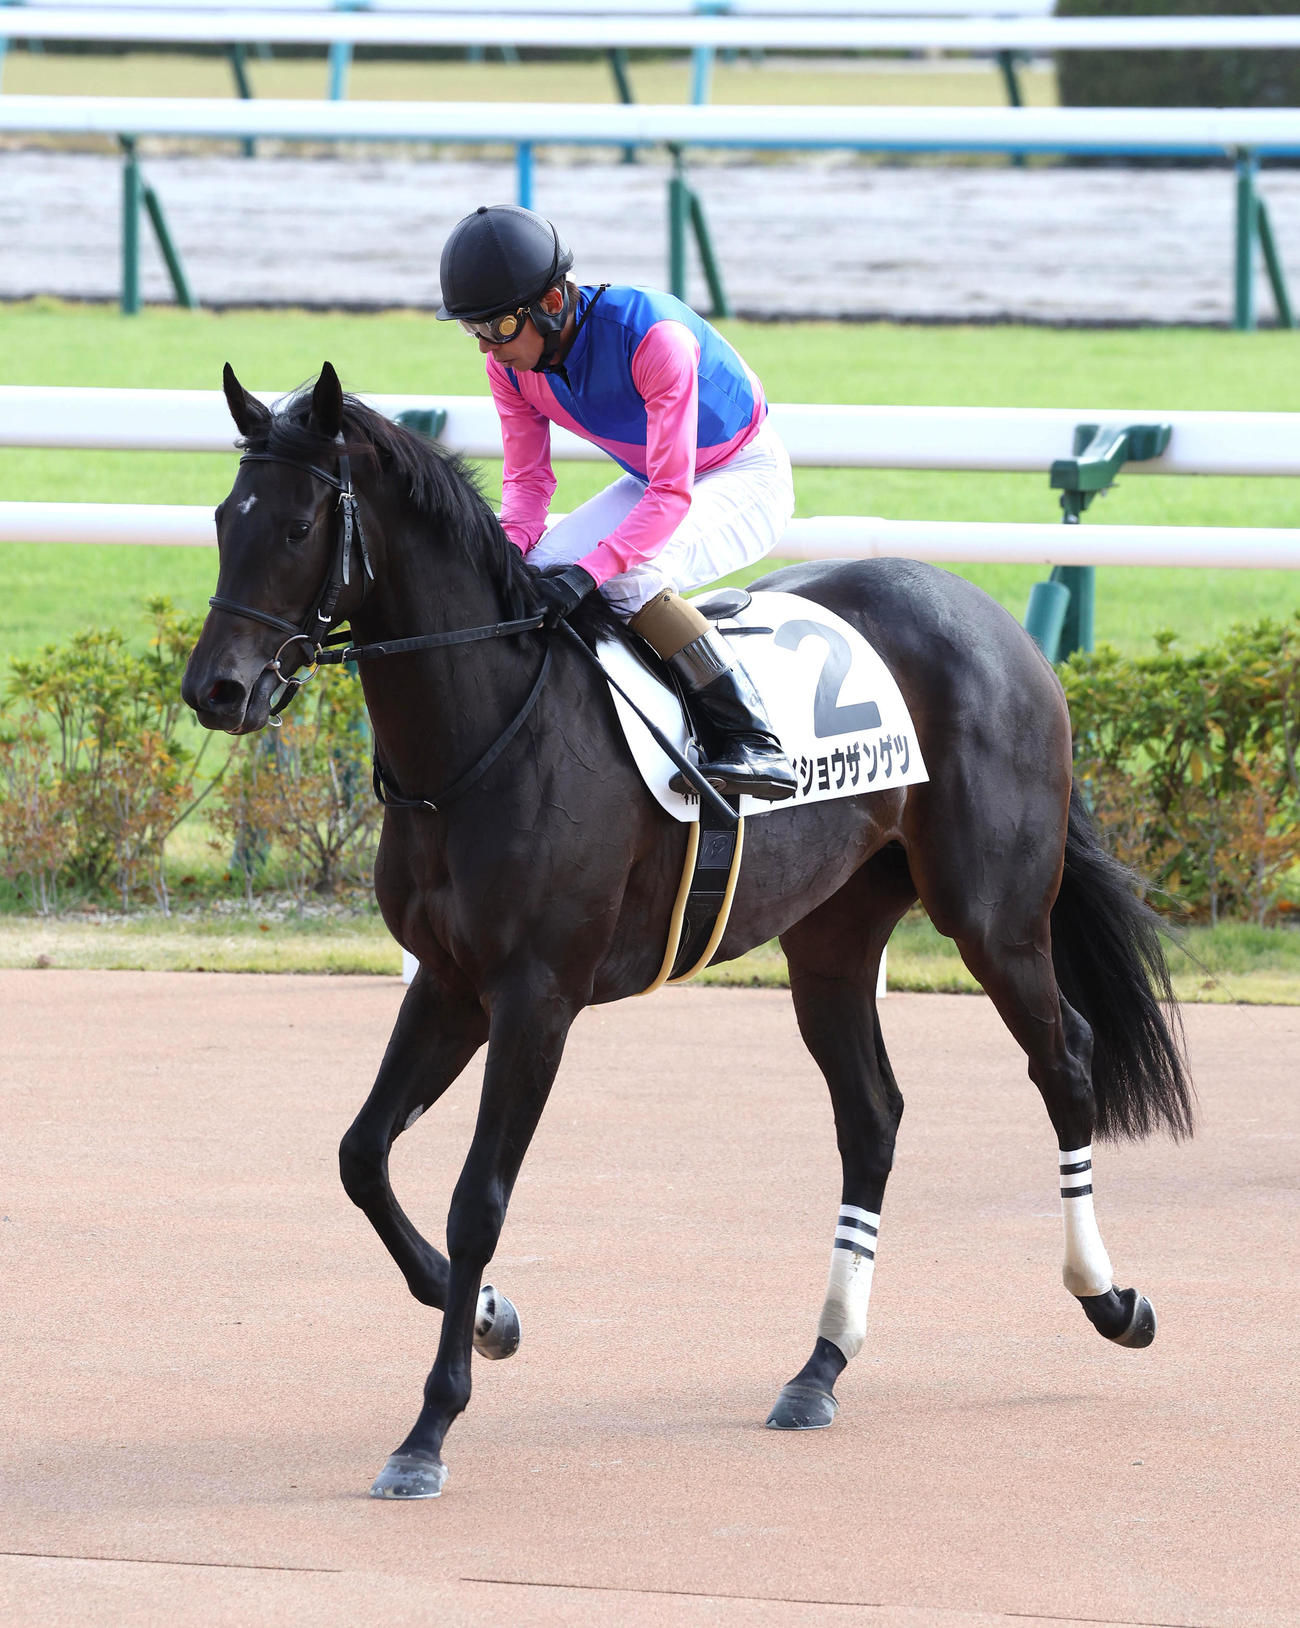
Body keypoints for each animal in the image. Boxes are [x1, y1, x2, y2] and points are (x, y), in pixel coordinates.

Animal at [182, 362, 1194, 1501]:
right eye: (223, 517)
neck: (486, 730)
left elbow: (477, 1198)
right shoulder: (447, 981)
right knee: (871, 1117)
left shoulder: (537, 994)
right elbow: (362, 1154)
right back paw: (818, 1366)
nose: (216, 689)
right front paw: (486, 1312)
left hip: (996, 914)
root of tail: (996, 621)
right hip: (832, 938)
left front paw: (429, 1426)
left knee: (1065, 1059)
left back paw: (1110, 1298)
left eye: (299, 523)